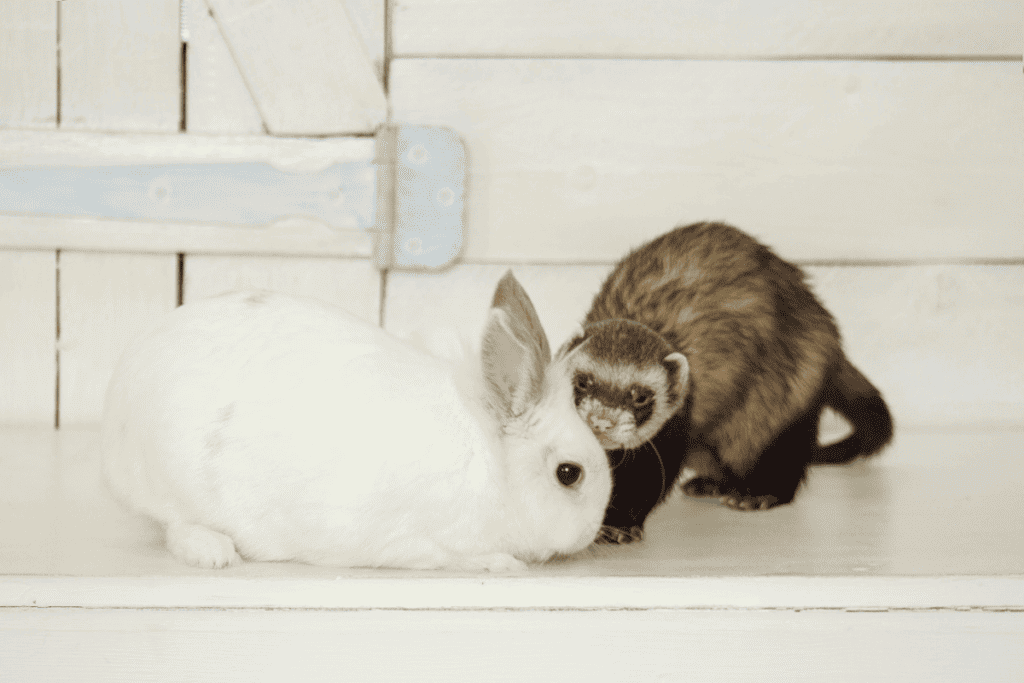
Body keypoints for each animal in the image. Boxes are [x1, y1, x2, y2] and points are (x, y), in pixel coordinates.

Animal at [101, 272, 612, 572]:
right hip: (171, 481)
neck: (492, 463)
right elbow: (461, 556)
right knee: (173, 525)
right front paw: (503, 564)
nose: (593, 531)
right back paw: (214, 552)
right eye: (569, 474)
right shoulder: (424, 542)